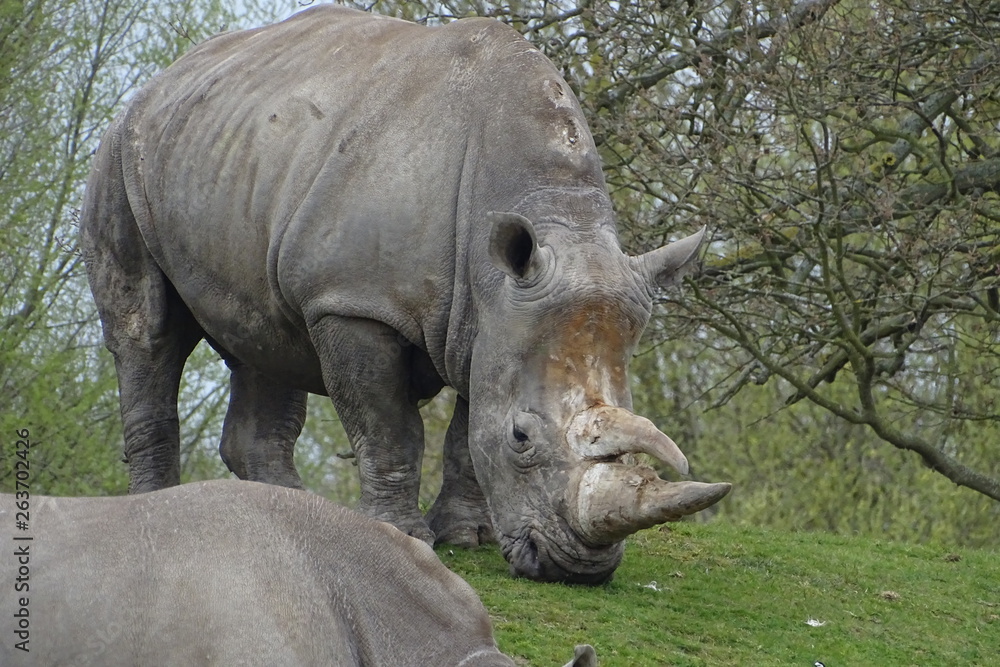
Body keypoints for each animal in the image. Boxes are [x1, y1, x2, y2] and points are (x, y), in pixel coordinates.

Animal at [80, 4, 730, 584]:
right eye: (522, 439)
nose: (576, 570)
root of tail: (162, 80)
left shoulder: (492, 319)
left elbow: (465, 432)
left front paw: (468, 537)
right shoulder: (355, 302)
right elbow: (389, 425)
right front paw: (404, 536)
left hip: (236, 156)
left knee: (265, 336)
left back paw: (290, 513)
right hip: (119, 155)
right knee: (147, 332)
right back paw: (158, 507)